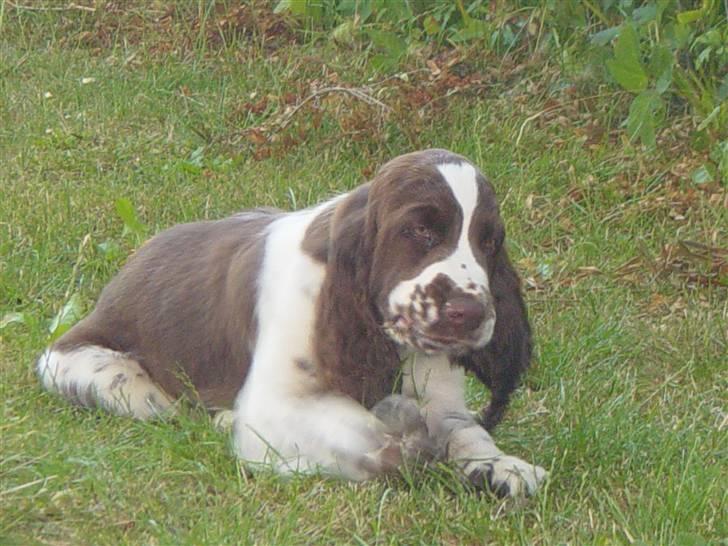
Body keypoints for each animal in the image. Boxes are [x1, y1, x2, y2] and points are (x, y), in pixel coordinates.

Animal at [35, 149, 544, 498]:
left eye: (488, 242)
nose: (470, 313)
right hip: (106, 379)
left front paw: (501, 466)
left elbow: (465, 431)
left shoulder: (443, 398)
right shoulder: (275, 405)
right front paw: (404, 444)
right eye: (420, 230)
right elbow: (367, 432)